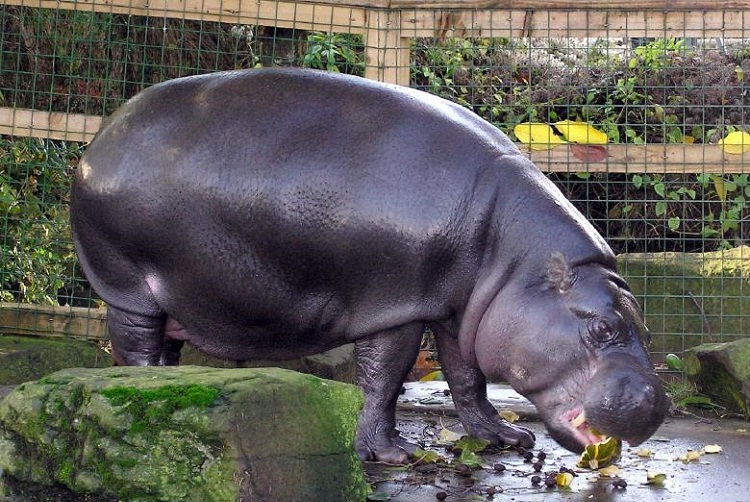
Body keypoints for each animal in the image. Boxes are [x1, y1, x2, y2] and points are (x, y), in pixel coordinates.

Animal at [70, 66, 668, 462]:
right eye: (603, 327)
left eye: (642, 324)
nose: (656, 403)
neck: (516, 262)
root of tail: (98, 141)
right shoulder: (398, 302)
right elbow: (384, 378)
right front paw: (391, 454)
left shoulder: (460, 310)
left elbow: (466, 377)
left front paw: (504, 438)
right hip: (128, 288)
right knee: (135, 350)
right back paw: (142, 390)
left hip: (176, 296)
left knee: (164, 350)